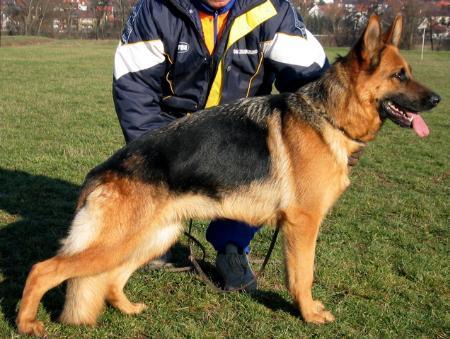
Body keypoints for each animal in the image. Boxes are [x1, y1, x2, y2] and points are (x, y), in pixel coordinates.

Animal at [16, 14, 440, 336]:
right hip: (118, 241)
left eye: (410, 72)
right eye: (399, 76)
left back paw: (129, 308)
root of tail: (101, 172)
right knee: (43, 269)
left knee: (111, 280)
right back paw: (26, 324)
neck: (329, 114)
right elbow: (302, 276)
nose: (437, 99)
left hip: (150, 237)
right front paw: (308, 314)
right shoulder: (302, 226)